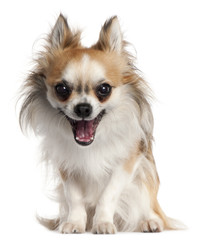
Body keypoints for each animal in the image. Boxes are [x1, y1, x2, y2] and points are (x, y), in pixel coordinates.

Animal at [19, 14, 179, 233]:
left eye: (104, 89)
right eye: (62, 89)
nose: (83, 108)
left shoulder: (126, 163)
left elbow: (108, 195)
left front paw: (103, 223)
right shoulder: (68, 166)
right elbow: (75, 198)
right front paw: (75, 223)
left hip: (144, 182)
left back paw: (149, 222)